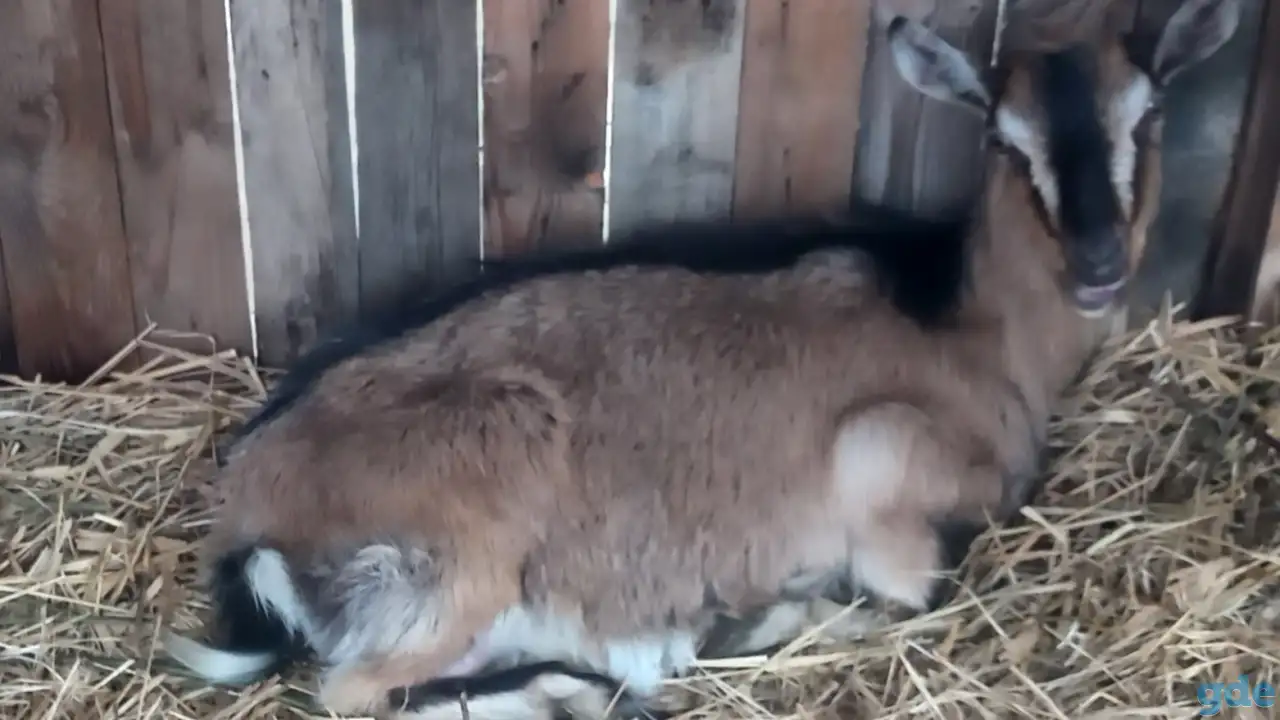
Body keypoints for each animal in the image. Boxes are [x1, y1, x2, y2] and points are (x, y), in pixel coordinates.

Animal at [165, 1, 1240, 718]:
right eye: (1007, 141)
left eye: (1145, 117)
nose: (1099, 263)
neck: (961, 315)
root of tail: (250, 514)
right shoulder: (884, 464)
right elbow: (910, 589)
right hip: (468, 536)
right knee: (354, 693)